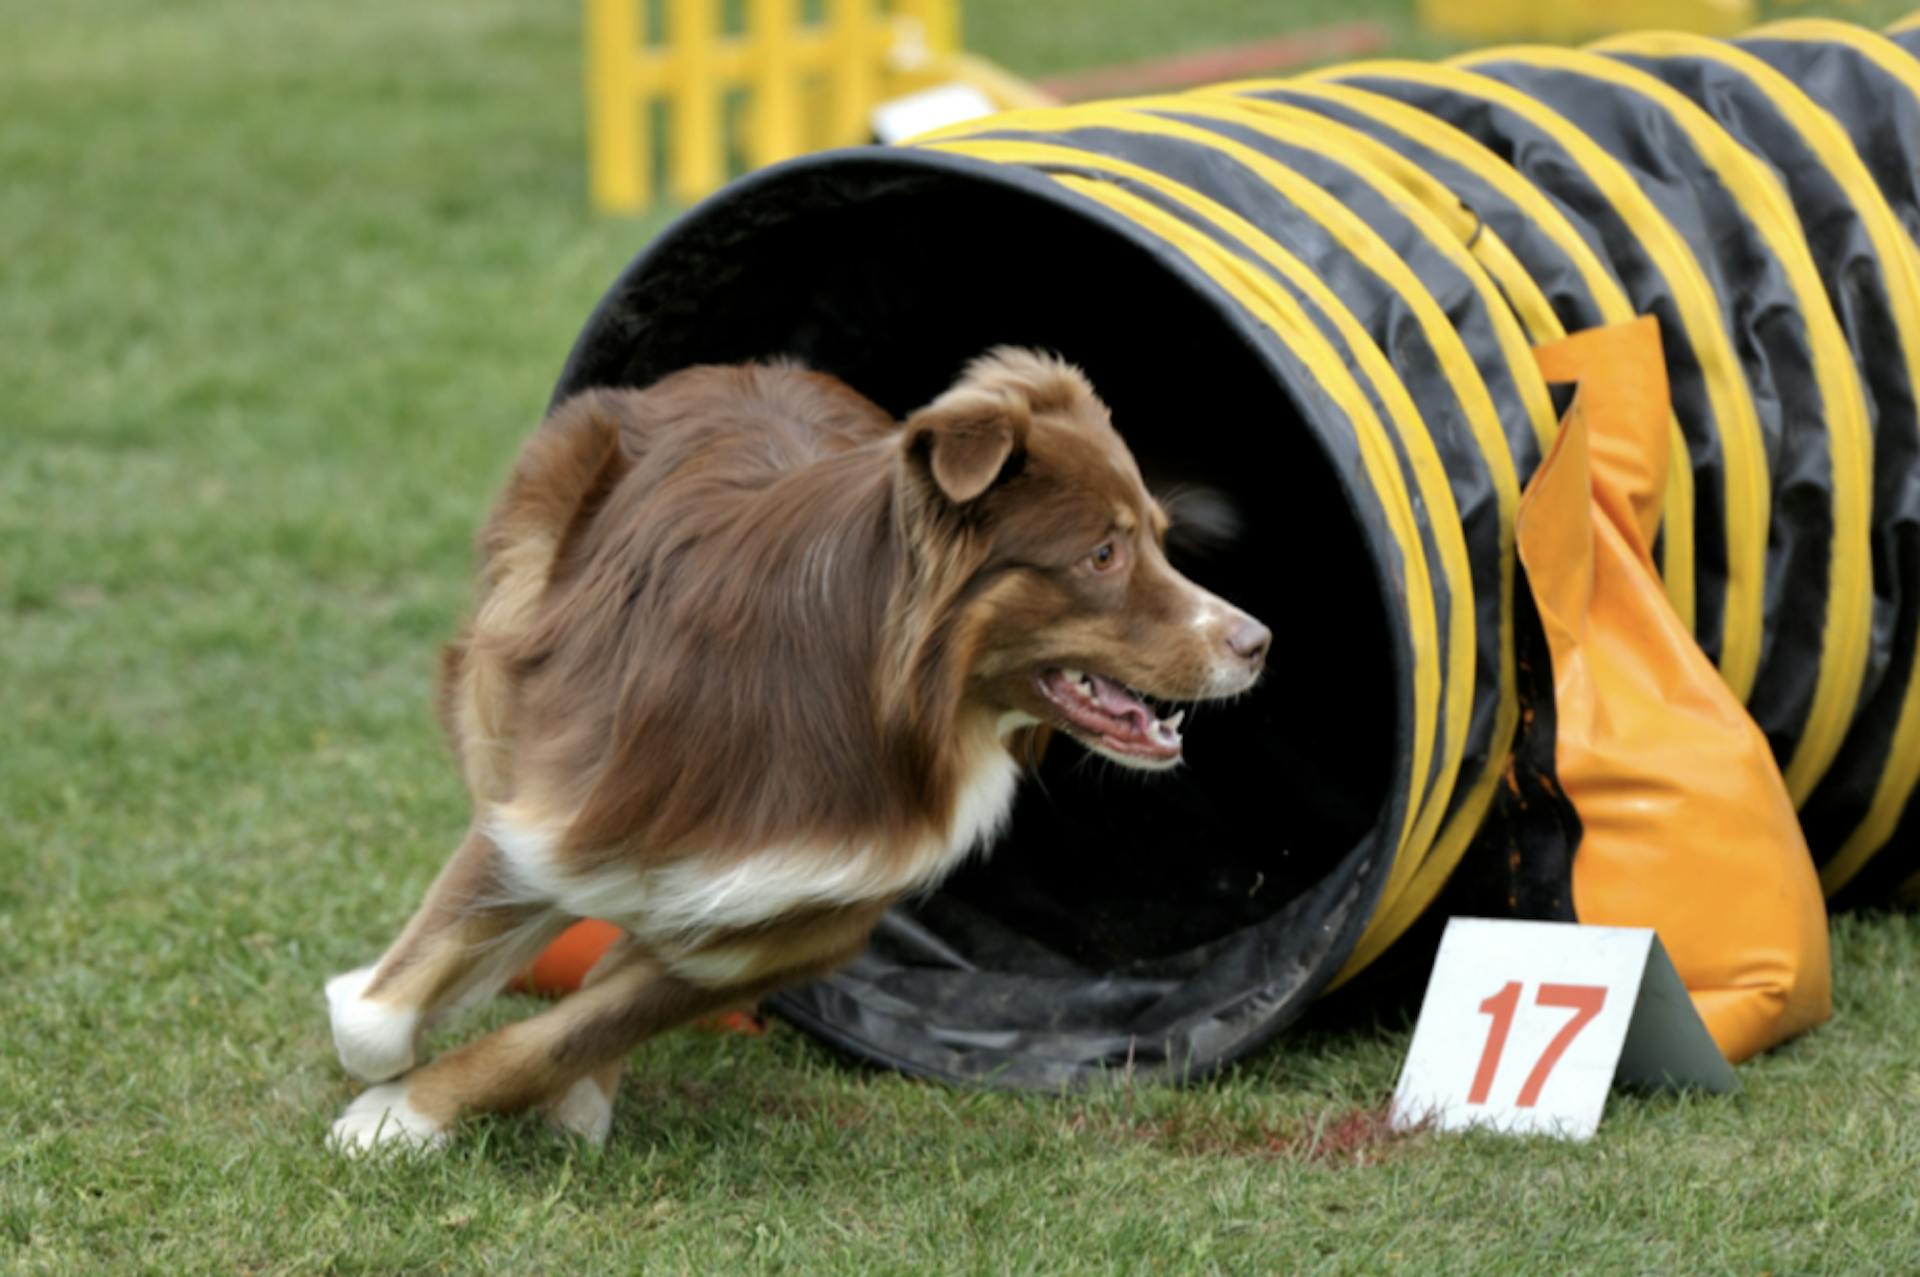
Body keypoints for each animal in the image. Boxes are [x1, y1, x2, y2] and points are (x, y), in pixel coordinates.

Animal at [322, 349, 1267, 1152]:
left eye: (1159, 538)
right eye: (1103, 553)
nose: (1260, 642)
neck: (874, 701)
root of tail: (750, 365)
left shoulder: (783, 926)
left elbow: (564, 1034)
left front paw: (405, 1116)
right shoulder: (547, 816)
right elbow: (374, 1021)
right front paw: (388, 1083)